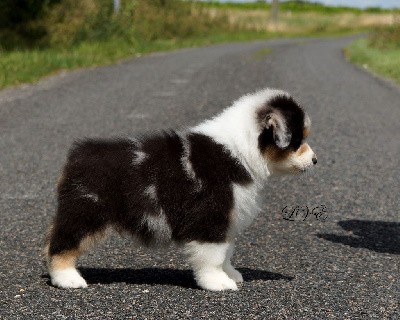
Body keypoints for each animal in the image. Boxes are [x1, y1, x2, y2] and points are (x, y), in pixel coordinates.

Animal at [44, 87, 316, 290]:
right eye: (297, 140)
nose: (315, 160)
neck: (240, 151)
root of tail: (78, 154)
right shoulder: (210, 217)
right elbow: (213, 256)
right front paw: (217, 283)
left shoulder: (226, 221)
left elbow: (226, 252)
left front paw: (231, 274)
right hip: (85, 211)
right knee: (60, 244)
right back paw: (68, 279)